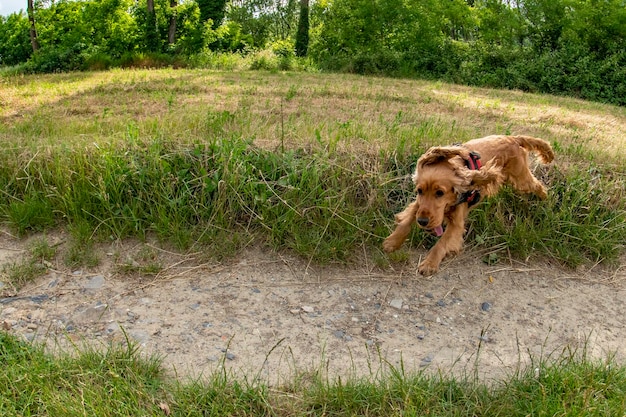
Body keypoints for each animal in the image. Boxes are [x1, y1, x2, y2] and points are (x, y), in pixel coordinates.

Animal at [380, 135, 552, 274]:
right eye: (419, 190)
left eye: (440, 193)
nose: (422, 222)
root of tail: (513, 138)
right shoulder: (419, 204)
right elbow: (407, 219)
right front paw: (392, 242)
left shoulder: (456, 224)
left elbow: (441, 243)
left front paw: (429, 264)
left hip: (521, 179)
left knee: (537, 185)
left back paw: (545, 198)